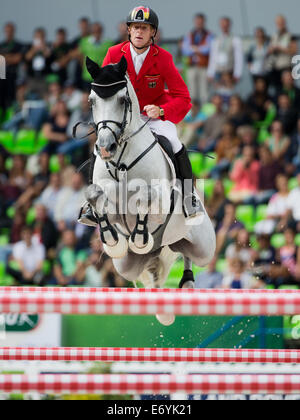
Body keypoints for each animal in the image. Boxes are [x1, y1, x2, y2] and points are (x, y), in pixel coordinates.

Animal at [84, 55, 216, 324]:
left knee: (190, 255)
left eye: (123, 100)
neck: (122, 160)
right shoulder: (108, 201)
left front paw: (140, 237)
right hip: (126, 266)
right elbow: (95, 196)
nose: (105, 148)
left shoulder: (161, 203)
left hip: (202, 246)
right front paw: (112, 239)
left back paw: (186, 282)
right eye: (92, 101)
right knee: (151, 277)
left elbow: (145, 197)